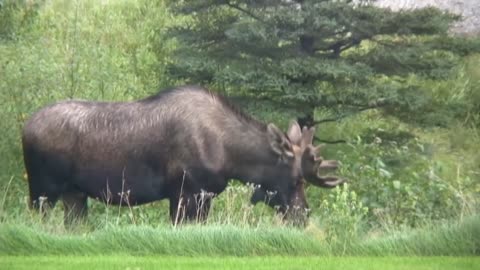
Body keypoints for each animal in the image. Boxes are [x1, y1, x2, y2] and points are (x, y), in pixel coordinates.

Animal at [23, 85, 344, 226]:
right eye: (296, 180)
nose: (303, 216)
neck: (230, 158)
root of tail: (24, 128)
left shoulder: (203, 197)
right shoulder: (184, 193)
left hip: (74, 194)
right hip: (42, 191)